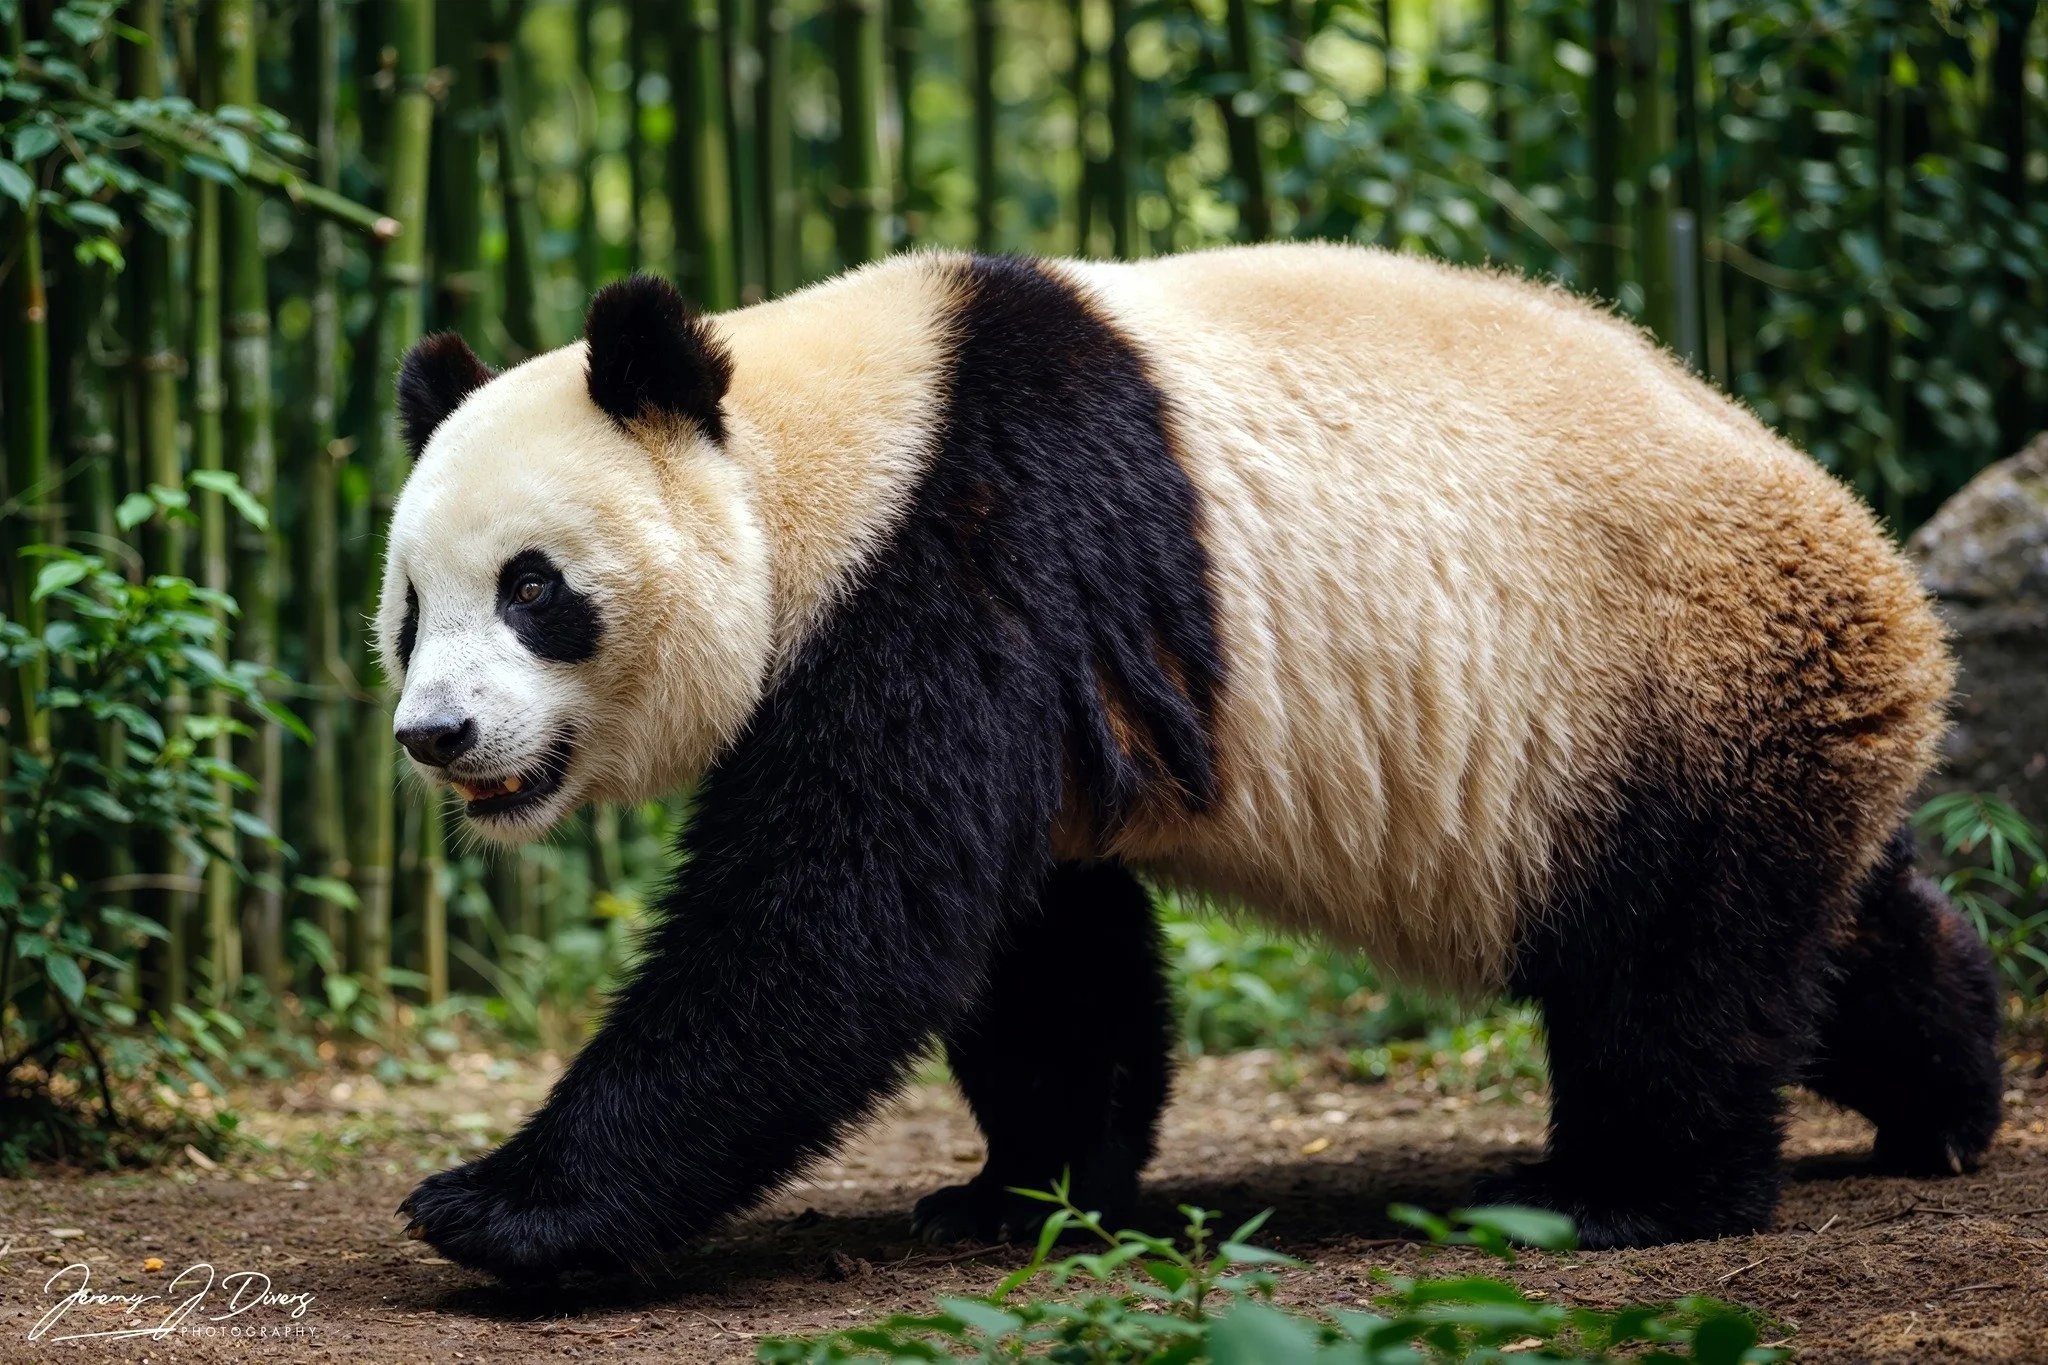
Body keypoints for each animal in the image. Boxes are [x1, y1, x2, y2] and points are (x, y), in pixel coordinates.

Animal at [378, 243, 2003, 1281]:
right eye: (406, 611)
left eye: (534, 589)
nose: (435, 737)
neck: (818, 448)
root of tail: (1893, 596)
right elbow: (1039, 952)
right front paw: (1022, 1193)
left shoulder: (966, 552)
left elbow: (830, 927)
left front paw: (500, 1209)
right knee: (1815, 927)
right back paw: (1951, 1091)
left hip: (1654, 681)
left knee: (1676, 965)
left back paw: (1624, 1194)